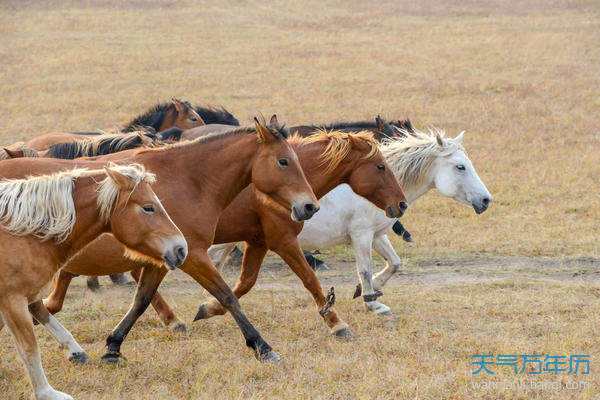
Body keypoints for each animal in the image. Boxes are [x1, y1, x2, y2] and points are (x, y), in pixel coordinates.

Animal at [0, 163, 186, 400]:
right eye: (148, 207)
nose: (181, 249)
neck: (22, 234)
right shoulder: (13, 300)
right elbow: (29, 348)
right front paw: (48, 393)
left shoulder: (27, 297)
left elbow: (51, 322)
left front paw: (77, 353)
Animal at [19, 115, 318, 362]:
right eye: (283, 161)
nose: (309, 206)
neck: (190, 181)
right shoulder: (193, 256)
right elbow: (227, 296)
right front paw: (262, 346)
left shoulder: (163, 259)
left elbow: (141, 301)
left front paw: (113, 346)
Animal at [209, 128, 490, 316]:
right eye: (461, 167)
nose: (486, 200)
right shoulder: (361, 235)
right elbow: (364, 268)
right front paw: (372, 301)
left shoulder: (377, 235)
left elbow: (394, 263)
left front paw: (368, 290)